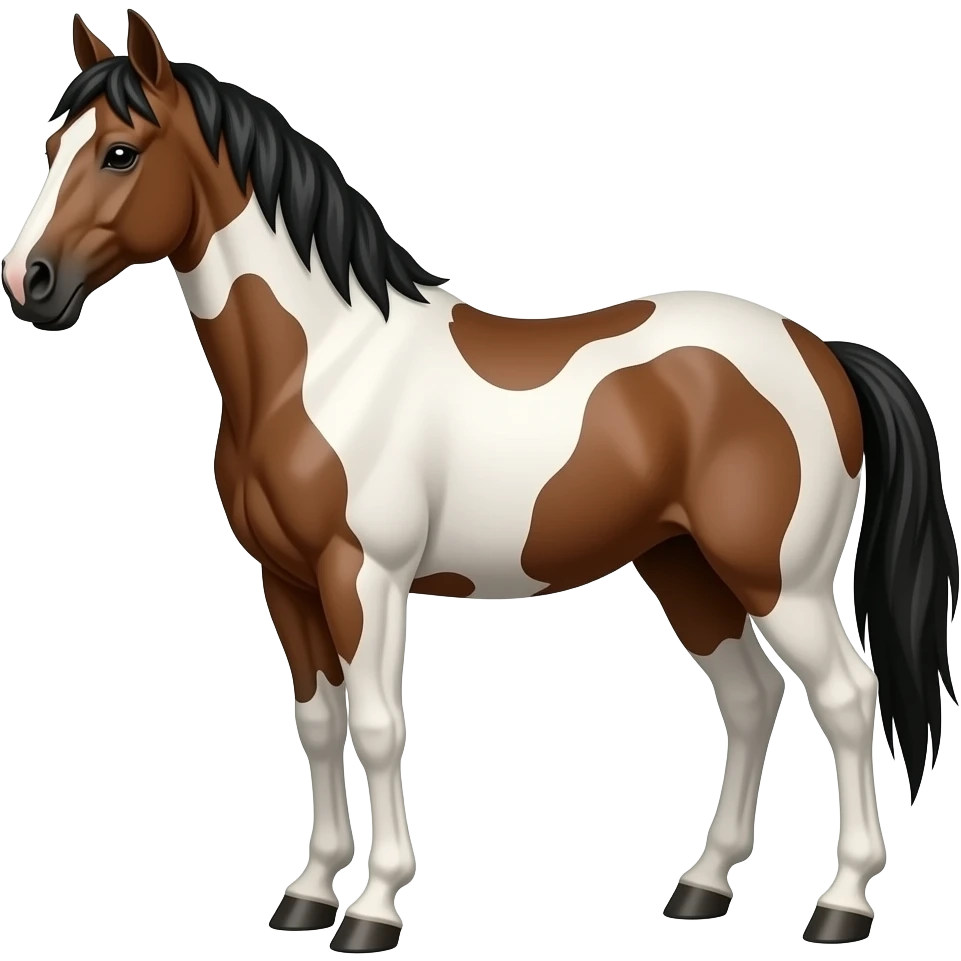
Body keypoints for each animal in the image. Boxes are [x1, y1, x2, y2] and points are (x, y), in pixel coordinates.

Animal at [3, 10, 957, 952]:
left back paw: (841, 902)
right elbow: (318, 723)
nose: (28, 282)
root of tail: (819, 350)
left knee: (846, 697)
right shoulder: (287, 582)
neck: (323, 363)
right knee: (751, 697)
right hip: (682, 565)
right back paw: (701, 884)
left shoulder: (364, 577)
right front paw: (308, 893)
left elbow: (379, 725)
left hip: (779, 580)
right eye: (51, 144)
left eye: (119, 152)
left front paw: (374, 908)